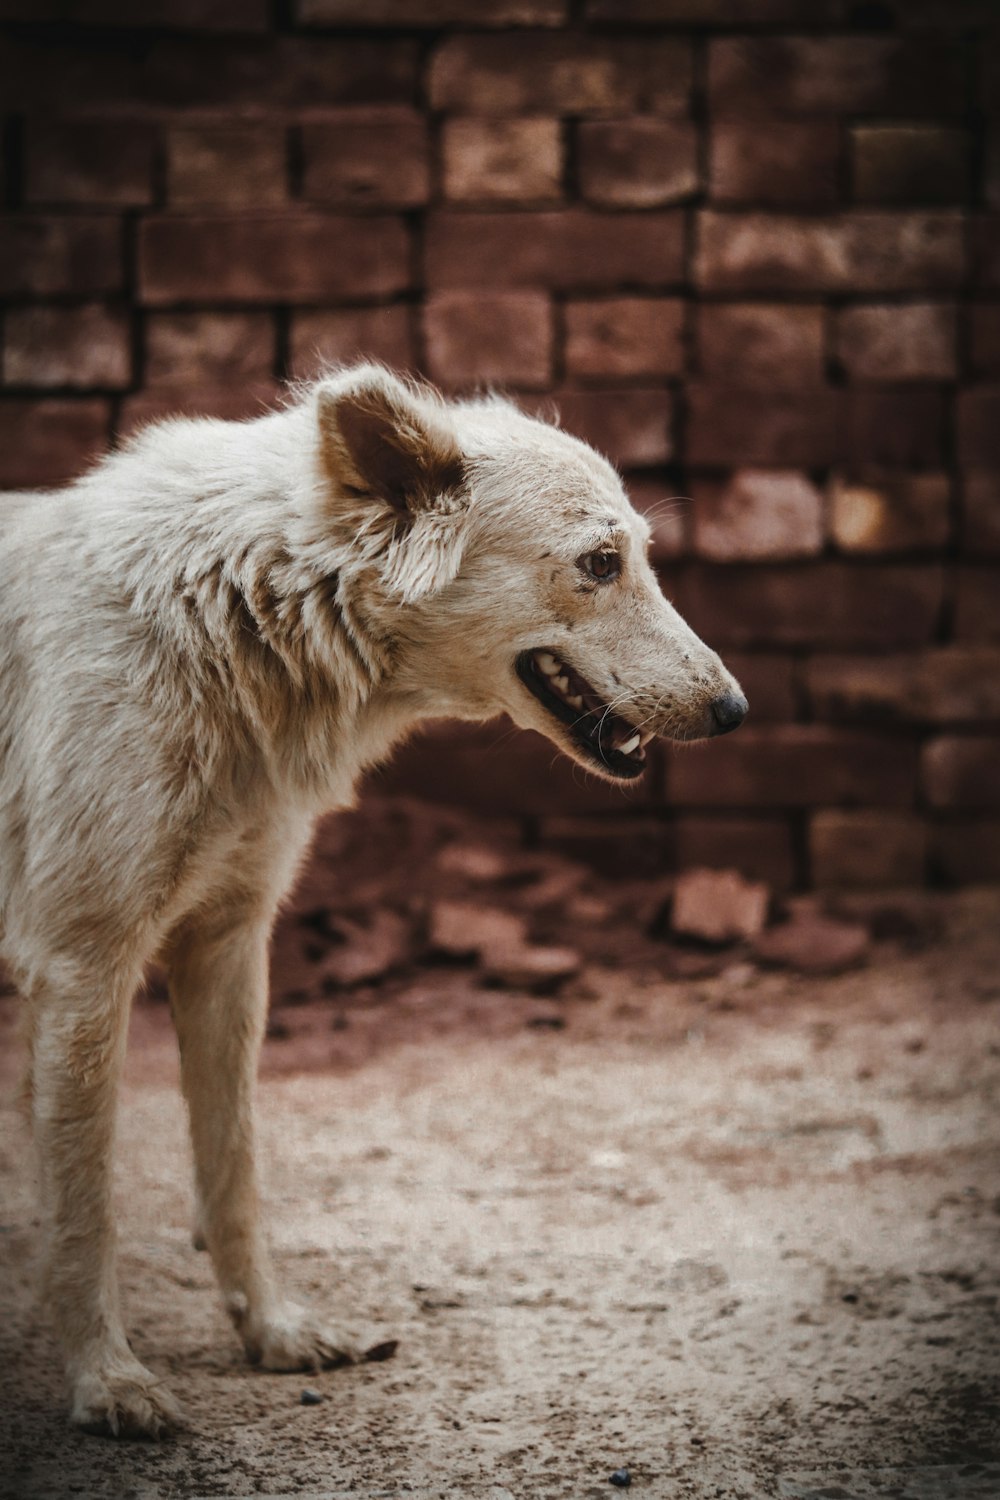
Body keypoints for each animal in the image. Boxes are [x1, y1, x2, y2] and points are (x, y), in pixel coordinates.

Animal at [0, 366, 746, 1440]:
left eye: (639, 556)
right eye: (600, 564)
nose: (736, 711)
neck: (219, 620)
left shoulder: (227, 948)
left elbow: (233, 1171)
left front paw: (274, 1334)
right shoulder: (81, 969)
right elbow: (84, 1210)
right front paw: (108, 1383)